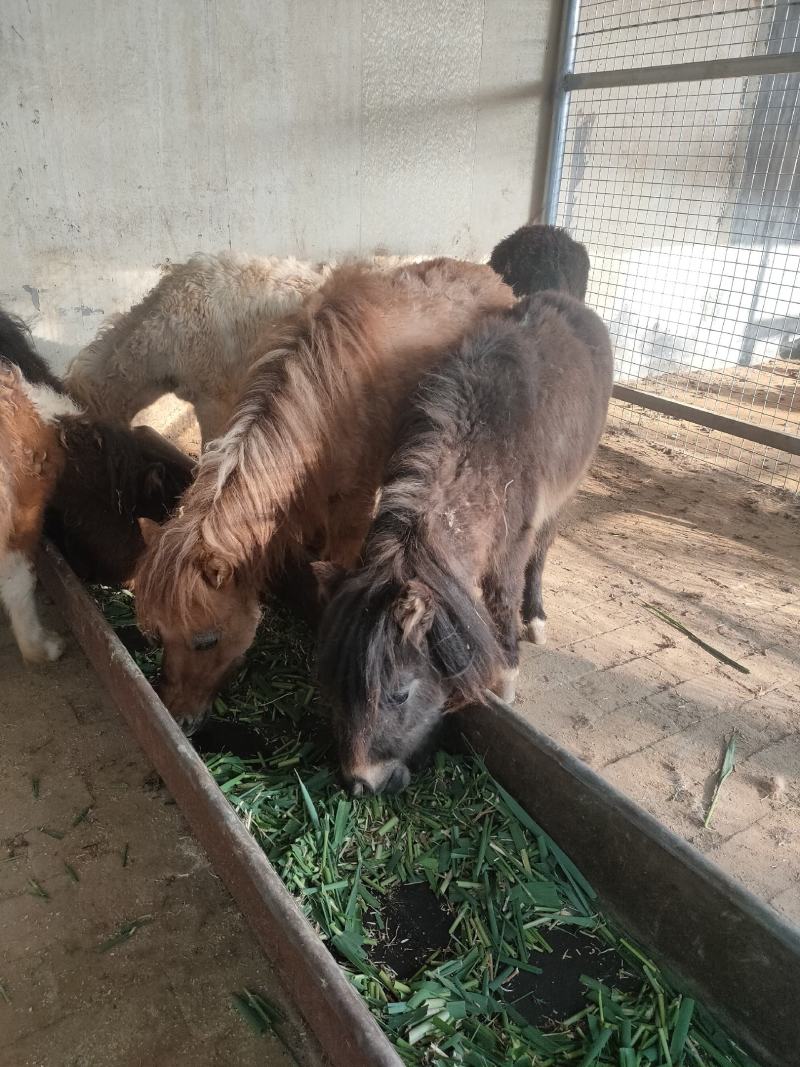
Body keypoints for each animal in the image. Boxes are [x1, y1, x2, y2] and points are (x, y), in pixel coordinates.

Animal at [133, 258, 515, 734]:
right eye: (158, 633)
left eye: (206, 639)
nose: (178, 716)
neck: (325, 400)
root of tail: (495, 279)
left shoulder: (352, 507)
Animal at [315, 290, 614, 796]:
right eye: (336, 685)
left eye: (400, 693)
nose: (363, 783)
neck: (485, 444)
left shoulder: (510, 547)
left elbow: (502, 596)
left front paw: (507, 676)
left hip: (565, 491)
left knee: (542, 555)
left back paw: (536, 618)